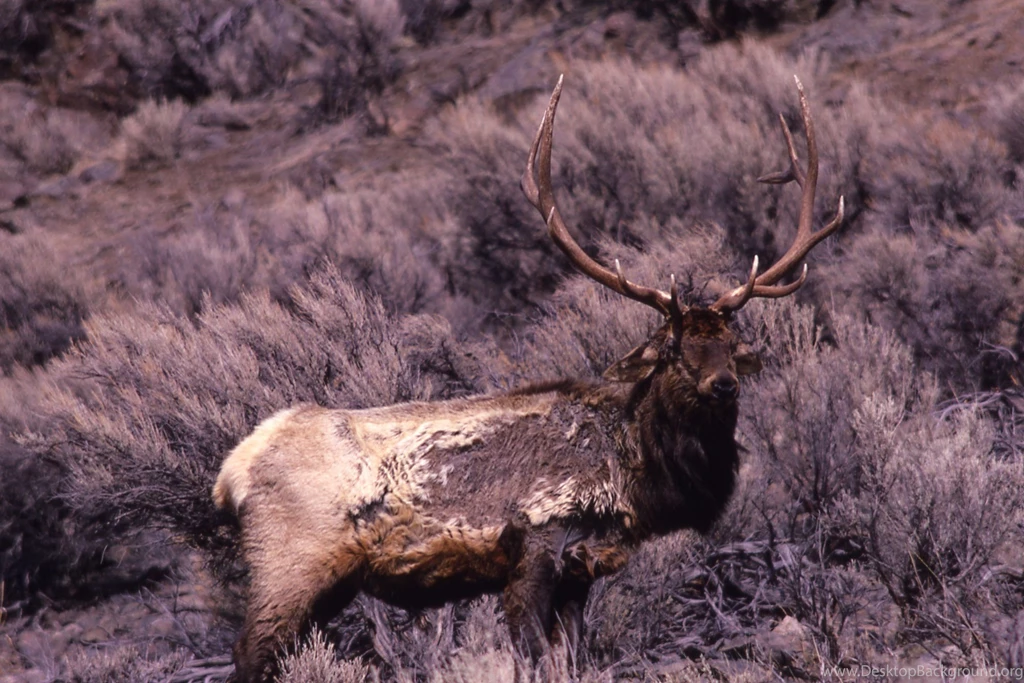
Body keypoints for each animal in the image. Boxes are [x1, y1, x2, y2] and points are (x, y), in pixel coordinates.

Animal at [213, 75, 843, 682]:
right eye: (672, 349)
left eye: (733, 348)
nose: (723, 386)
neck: (633, 473)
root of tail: (232, 472)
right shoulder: (534, 546)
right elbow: (530, 657)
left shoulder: (581, 571)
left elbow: (571, 660)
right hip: (289, 563)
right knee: (247, 653)